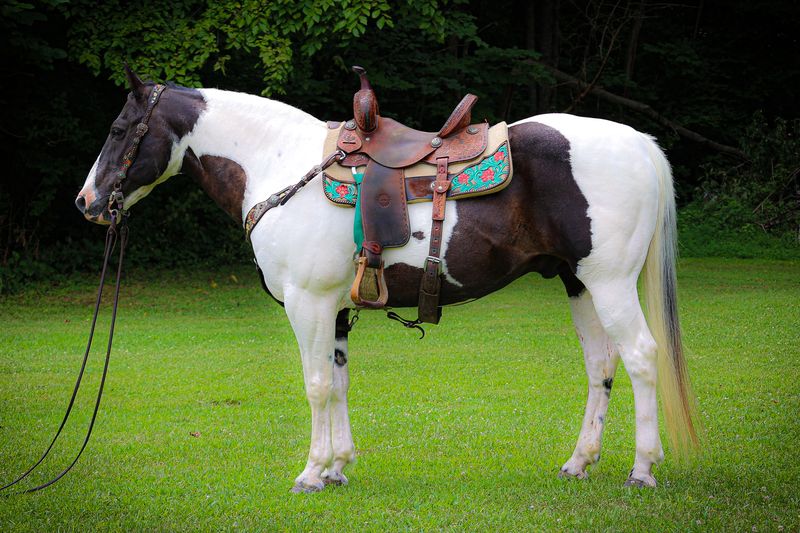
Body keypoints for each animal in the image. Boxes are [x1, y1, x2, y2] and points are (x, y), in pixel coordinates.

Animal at [75, 68, 699, 493]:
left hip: (610, 283)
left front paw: (311, 472)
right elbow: (339, 382)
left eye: (119, 128)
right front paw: (338, 467)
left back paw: (643, 469)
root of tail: (639, 142)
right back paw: (579, 461)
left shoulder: (308, 304)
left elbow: (316, 384)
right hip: (579, 283)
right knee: (602, 366)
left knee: (642, 357)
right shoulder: (335, 310)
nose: (86, 203)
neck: (278, 165)